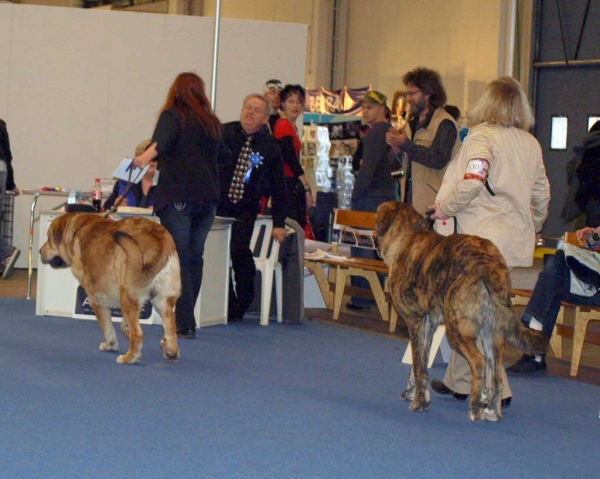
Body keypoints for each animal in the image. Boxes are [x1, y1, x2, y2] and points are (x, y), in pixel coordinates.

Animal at [39, 212, 180, 366]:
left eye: (49, 238)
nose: (40, 251)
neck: (76, 232)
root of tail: (159, 241)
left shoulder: (96, 300)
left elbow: (107, 327)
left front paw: (110, 345)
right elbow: (124, 326)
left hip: (128, 297)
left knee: (138, 334)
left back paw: (129, 357)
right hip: (161, 300)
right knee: (170, 326)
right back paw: (171, 351)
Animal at [378, 202, 552, 424]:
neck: (406, 234)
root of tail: (486, 264)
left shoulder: (414, 321)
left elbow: (417, 365)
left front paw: (418, 402)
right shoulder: (428, 325)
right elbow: (421, 364)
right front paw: (415, 392)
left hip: (457, 330)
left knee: (479, 363)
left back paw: (476, 407)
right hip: (492, 334)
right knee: (495, 373)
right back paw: (492, 411)